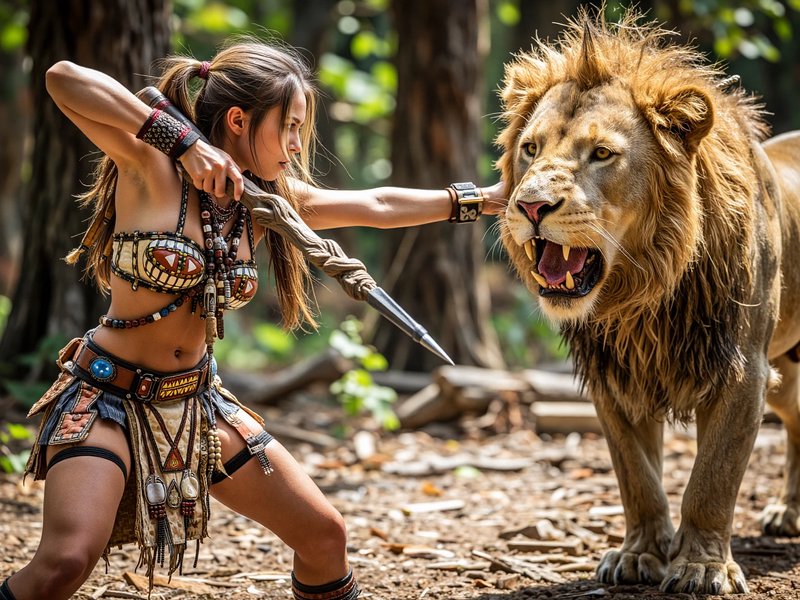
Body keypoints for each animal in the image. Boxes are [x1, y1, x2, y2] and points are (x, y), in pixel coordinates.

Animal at [497, 9, 800, 596]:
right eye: (531, 148)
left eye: (602, 154)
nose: (531, 206)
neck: (643, 295)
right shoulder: (614, 376)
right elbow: (636, 475)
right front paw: (639, 555)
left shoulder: (743, 371)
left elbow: (712, 479)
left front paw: (702, 566)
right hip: (786, 374)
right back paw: (790, 510)